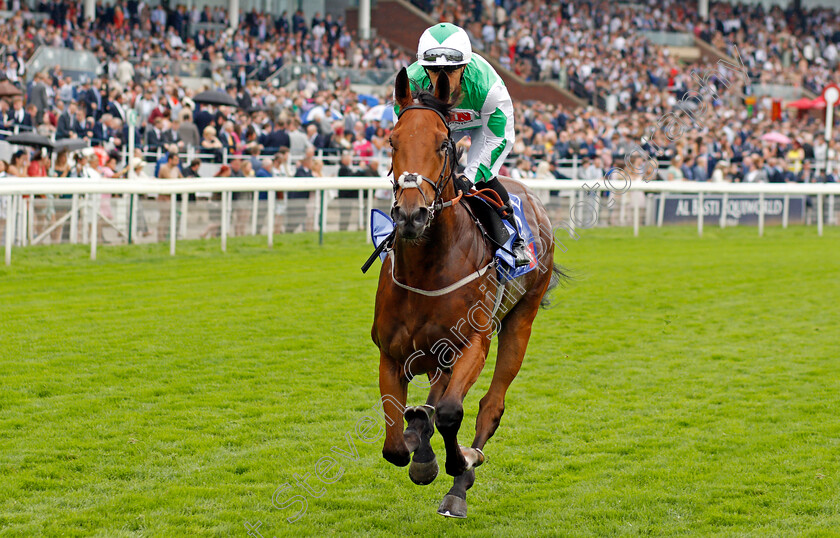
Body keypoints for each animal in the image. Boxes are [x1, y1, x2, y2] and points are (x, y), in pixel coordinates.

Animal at [372, 67, 564, 516]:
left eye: (443, 143)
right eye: (392, 141)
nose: (411, 214)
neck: (427, 271)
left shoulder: (473, 343)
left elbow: (449, 412)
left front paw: (459, 462)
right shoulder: (391, 354)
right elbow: (395, 446)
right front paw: (418, 448)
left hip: (520, 321)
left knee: (489, 407)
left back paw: (459, 487)